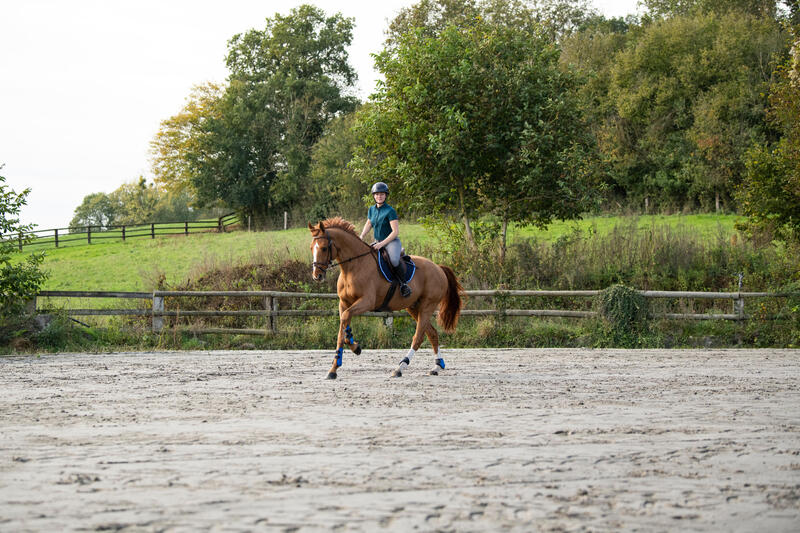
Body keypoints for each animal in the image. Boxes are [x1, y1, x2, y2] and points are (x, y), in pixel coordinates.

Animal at [310, 216, 466, 378]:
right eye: (311, 248)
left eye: (324, 248)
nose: (317, 276)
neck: (353, 267)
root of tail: (438, 268)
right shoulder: (344, 303)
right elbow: (342, 330)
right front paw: (337, 366)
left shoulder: (367, 302)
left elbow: (345, 319)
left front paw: (352, 350)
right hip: (414, 307)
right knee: (432, 333)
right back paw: (437, 366)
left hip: (427, 307)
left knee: (418, 337)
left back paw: (400, 367)